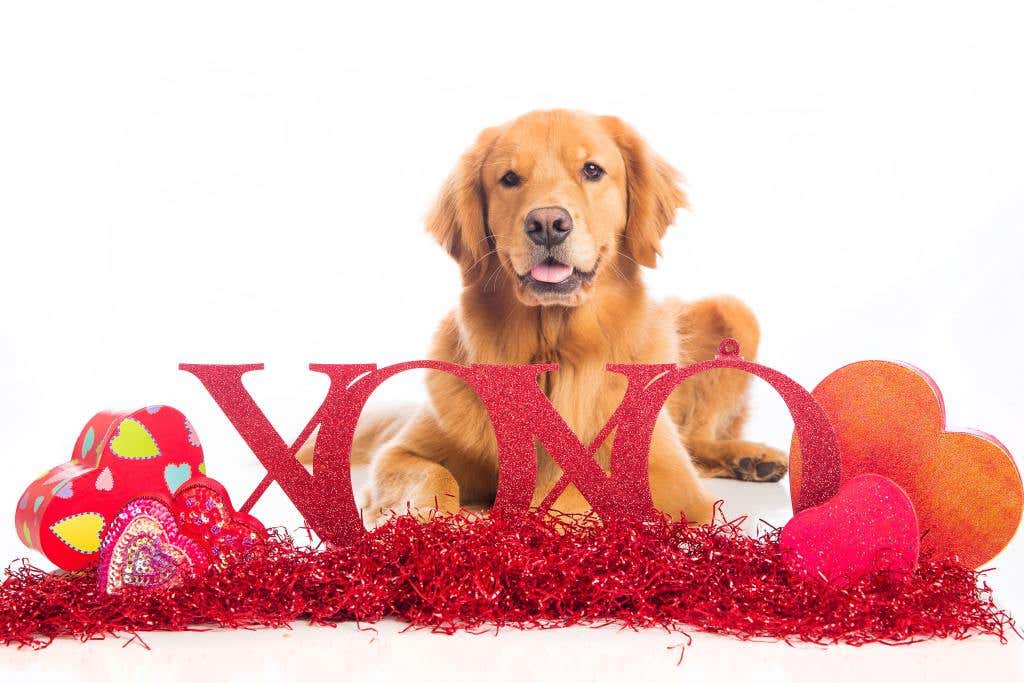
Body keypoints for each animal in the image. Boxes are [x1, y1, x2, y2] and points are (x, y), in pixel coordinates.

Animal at [299, 109, 786, 528]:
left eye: (592, 170)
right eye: (509, 179)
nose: (548, 223)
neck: (551, 350)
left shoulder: (671, 480)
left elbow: (572, 493)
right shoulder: (402, 451)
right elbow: (433, 477)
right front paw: (426, 521)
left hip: (735, 314)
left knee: (698, 439)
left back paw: (752, 457)